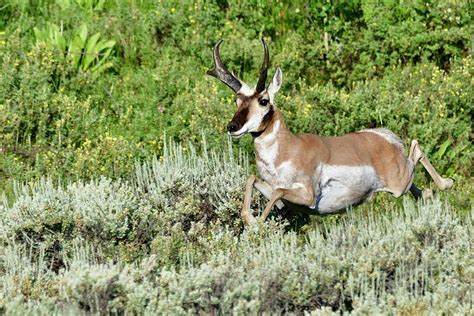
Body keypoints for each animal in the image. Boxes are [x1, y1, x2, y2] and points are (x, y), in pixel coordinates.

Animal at [207, 39, 452, 225]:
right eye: (237, 100)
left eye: (263, 100)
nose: (232, 127)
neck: (287, 150)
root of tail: (385, 137)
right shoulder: (276, 192)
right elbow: (252, 180)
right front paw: (250, 218)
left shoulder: (307, 196)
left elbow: (278, 192)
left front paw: (256, 223)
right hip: (402, 185)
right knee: (421, 187)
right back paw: (430, 193)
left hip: (399, 183)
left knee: (416, 149)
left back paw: (447, 182)